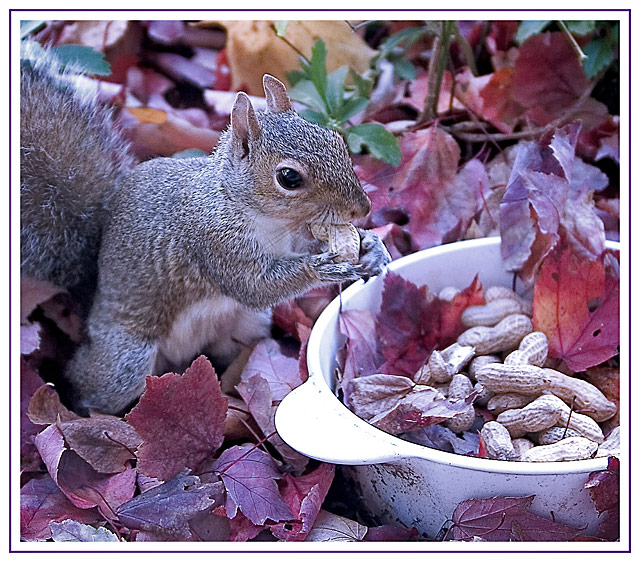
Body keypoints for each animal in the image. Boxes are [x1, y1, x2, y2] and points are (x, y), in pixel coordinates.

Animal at [20, 48, 390, 414]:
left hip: (247, 325)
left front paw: (372, 248)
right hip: (125, 361)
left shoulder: (292, 237)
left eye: (335, 139)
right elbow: (254, 286)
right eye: (289, 178)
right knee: (88, 386)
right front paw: (321, 268)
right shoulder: (212, 241)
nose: (362, 209)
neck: (250, 210)